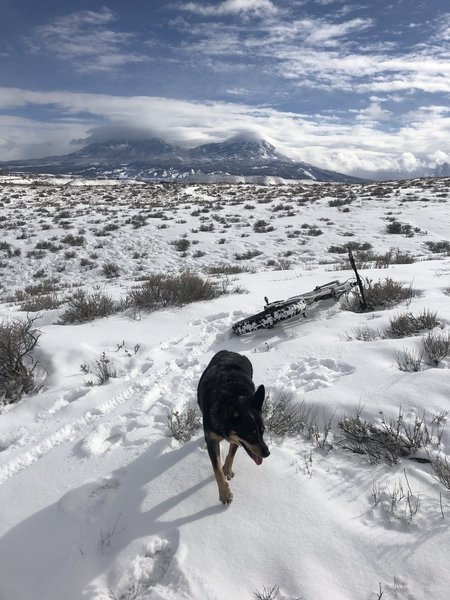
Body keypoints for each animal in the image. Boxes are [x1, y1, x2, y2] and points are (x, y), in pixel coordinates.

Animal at [198, 350, 268, 504]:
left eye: (263, 431)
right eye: (250, 434)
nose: (267, 453)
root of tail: (232, 352)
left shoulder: (237, 439)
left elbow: (231, 454)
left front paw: (227, 471)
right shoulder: (213, 439)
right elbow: (216, 469)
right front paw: (225, 494)